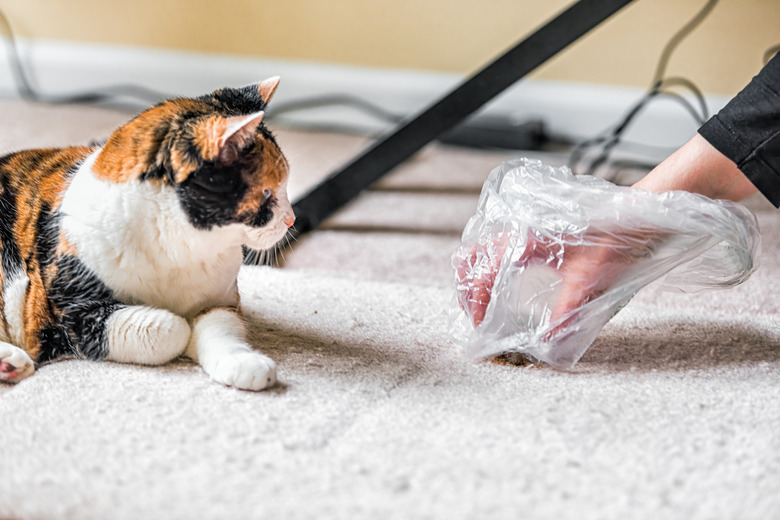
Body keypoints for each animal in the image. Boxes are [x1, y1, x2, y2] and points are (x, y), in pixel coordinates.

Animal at [0, 75, 292, 388]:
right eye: (267, 193)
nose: (291, 219)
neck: (176, 250)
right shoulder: (74, 312)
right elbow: (172, 328)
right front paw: (182, 330)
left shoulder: (221, 301)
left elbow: (220, 327)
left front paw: (245, 363)